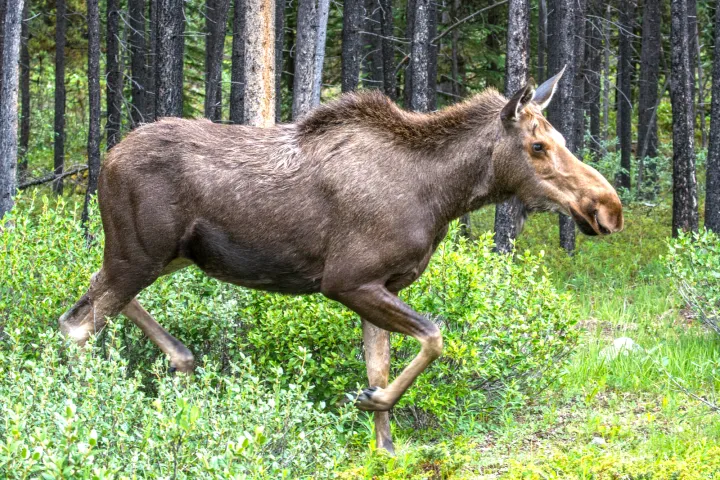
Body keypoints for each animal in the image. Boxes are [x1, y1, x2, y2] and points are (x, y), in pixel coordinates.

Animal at [58, 69, 623, 454]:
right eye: (538, 145)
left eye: (561, 140)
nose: (608, 208)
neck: (443, 197)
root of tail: (103, 161)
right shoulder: (347, 280)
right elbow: (434, 337)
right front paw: (373, 402)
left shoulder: (382, 285)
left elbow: (383, 364)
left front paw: (384, 444)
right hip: (139, 253)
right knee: (79, 325)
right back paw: (88, 411)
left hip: (159, 255)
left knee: (86, 302)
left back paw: (180, 359)